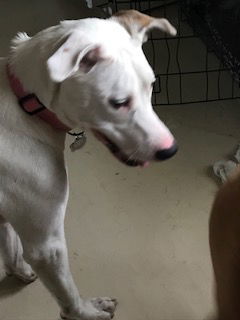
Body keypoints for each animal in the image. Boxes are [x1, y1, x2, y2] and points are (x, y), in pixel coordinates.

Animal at [0, 10, 176, 320]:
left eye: (151, 85)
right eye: (119, 102)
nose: (171, 149)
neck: (25, 104)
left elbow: (10, 247)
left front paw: (18, 271)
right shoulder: (47, 246)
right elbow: (68, 295)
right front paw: (87, 312)